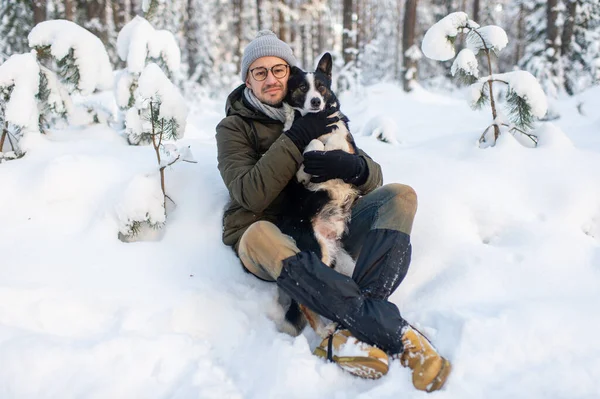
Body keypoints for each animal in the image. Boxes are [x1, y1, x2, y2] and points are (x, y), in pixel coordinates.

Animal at [276, 53, 356, 340]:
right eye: (302, 87)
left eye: (321, 86)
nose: (316, 102)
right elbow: (311, 145)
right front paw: (305, 167)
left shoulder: (348, 148)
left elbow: (334, 145)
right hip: (315, 251)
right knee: (305, 301)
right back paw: (323, 331)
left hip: (338, 259)